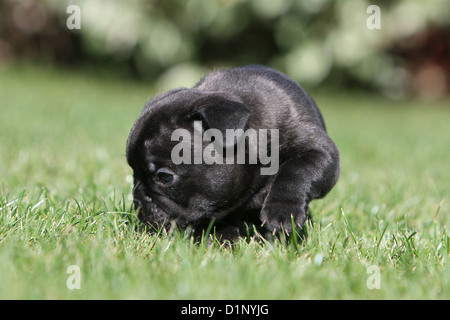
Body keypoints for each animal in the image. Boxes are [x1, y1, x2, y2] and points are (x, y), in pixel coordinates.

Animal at [125, 65, 338, 240]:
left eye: (165, 177)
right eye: (134, 174)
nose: (138, 200)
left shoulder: (319, 152)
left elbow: (297, 171)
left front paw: (283, 212)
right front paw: (221, 238)